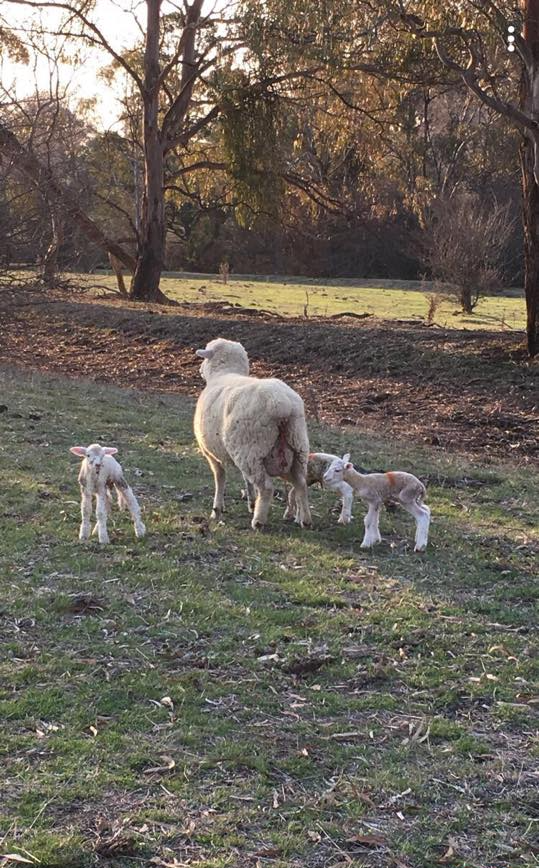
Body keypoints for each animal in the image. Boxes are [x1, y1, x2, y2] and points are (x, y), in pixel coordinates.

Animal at [194, 338, 312, 530]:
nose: (199, 370)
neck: (225, 373)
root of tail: (280, 404)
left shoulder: (210, 451)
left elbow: (220, 478)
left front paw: (217, 509)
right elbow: (246, 479)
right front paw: (250, 502)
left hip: (251, 449)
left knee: (266, 487)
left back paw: (258, 521)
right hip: (297, 447)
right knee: (301, 483)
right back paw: (306, 520)